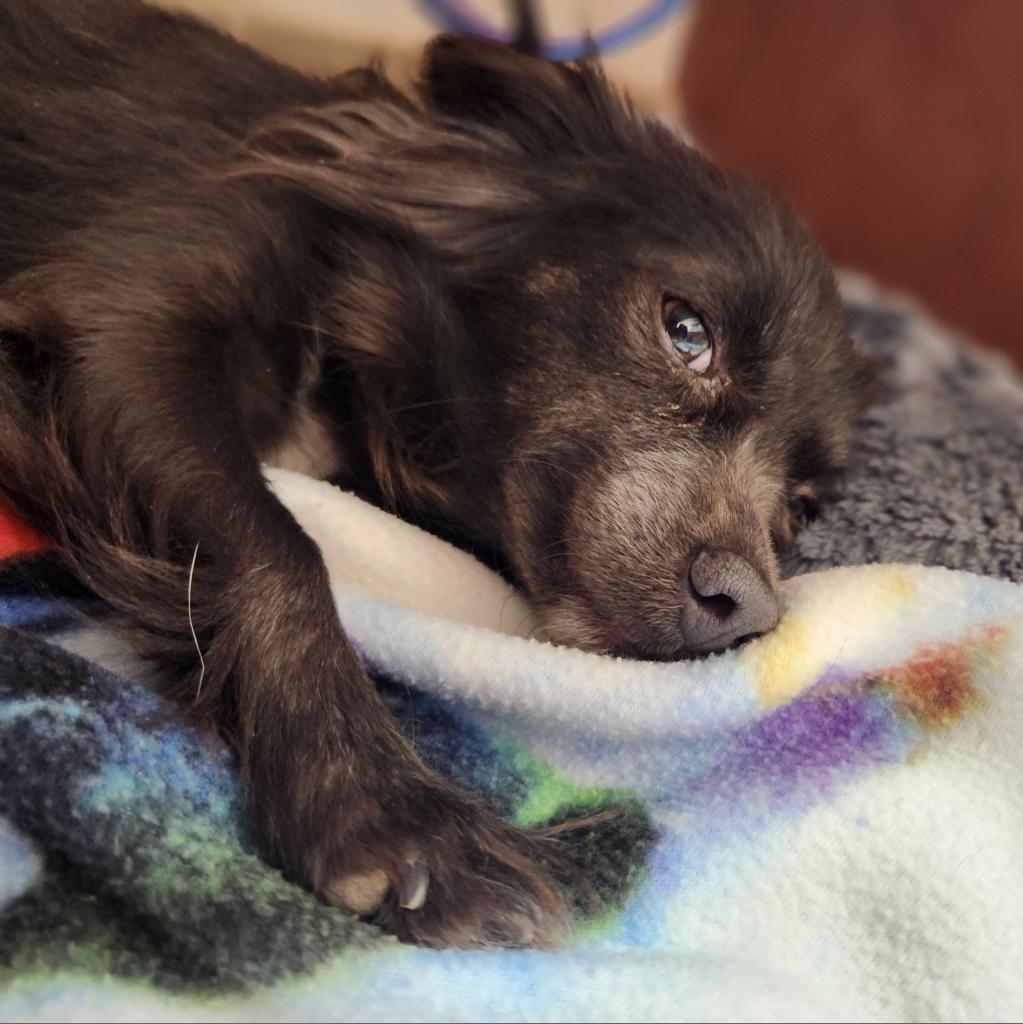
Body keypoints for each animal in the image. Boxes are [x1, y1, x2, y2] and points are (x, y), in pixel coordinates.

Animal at [0, 0, 872, 946]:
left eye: (798, 508)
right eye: (687, 332)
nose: (745, 612)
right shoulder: (120, 323)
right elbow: (280, 544)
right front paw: (385, 809)